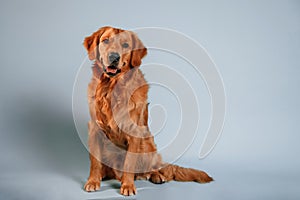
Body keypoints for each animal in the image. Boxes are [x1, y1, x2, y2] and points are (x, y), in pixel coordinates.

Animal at [83, 26, 212, 195]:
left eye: (125, 45)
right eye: (105, 40)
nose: (114, 57)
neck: (112, 88)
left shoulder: (134, 131)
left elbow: (129, 163)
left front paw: (128, 186)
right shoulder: (95, 128)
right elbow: (95, 162)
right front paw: (93, 181)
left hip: (147, 143)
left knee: (152, 168)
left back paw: (156, 176)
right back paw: (105, 175)